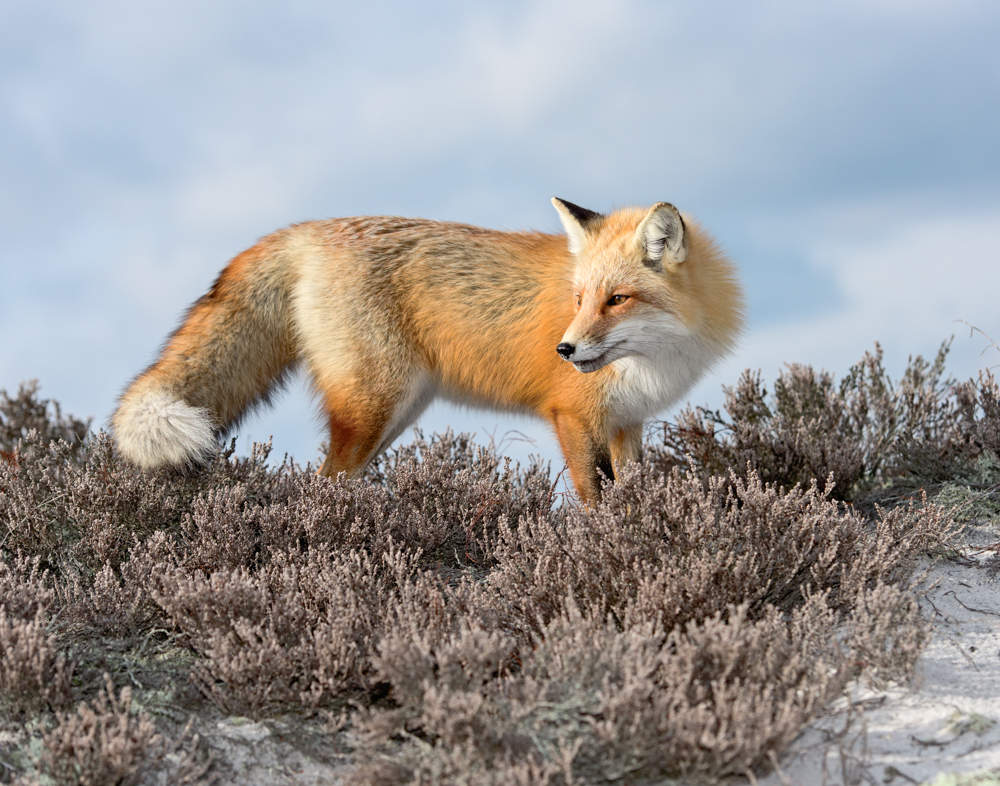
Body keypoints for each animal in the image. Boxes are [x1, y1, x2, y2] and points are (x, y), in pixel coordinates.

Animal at [112, 199, 744, 502]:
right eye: (580, 298)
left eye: (617, 299)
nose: (564, 349)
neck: (653, 362)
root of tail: (307, 229)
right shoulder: (571, 415)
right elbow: (596, 501)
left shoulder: (626, 423)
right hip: (373, 406)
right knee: (322, 484)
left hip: (395, 414)